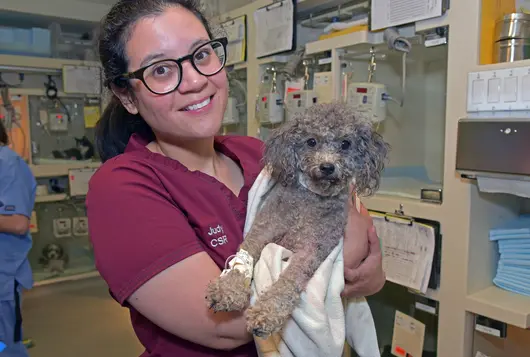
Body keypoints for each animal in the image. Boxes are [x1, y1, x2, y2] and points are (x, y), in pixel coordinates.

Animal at [243, 169, 380, 356]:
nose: (327, 168)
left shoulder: (312, 249)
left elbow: (288, 282)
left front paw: (265, 315)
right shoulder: (266, 224)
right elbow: (249, 246)